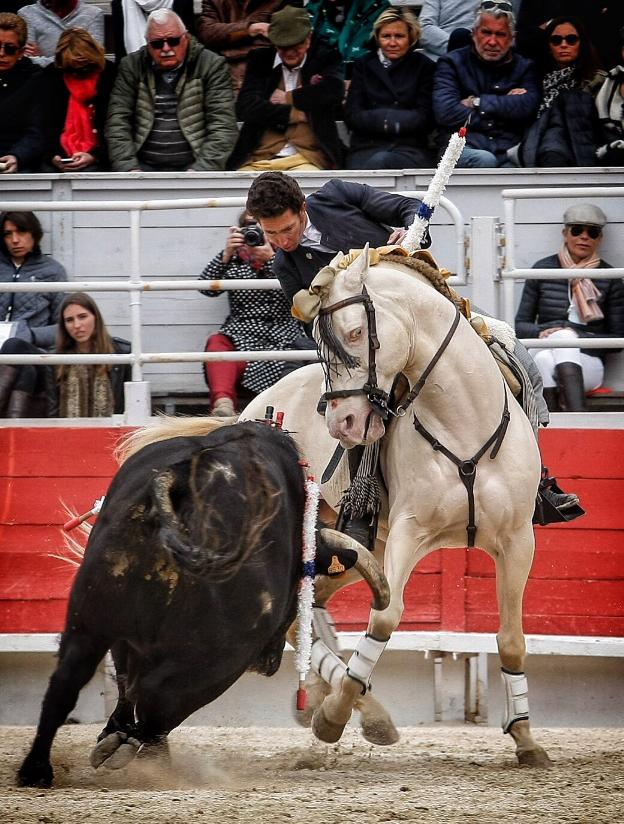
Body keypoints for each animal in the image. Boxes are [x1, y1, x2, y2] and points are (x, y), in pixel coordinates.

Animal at [17, 422, 388, 788]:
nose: (269, 662)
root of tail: (180, 481)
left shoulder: (124, 637)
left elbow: (123, 684)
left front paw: (115, 735)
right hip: (222, 653)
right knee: (157, 696)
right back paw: (140, 754)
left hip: (90, 618)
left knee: (68, 682)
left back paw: (37, 769)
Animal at [239, 249, 552, 768]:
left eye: (353, 333)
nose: (342, 424)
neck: (463, 421)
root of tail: (256, 406)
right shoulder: (409, 531)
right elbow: (385, 617)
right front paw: (332, 719)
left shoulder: (517, 542)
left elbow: (511, 639)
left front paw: (526, 738)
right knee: (294, 612)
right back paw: (346, 708)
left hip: (356, 550)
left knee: (310, 606)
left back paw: (348, 705)